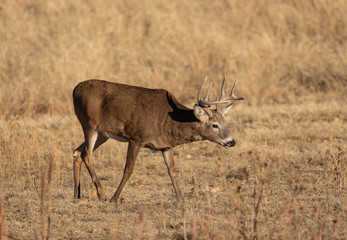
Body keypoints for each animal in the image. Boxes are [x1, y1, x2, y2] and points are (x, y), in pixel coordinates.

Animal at [72, 75, 243, 202]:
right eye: (215, 125)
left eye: (225, 123)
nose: (231, 141)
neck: (167, 121)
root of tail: (75, 89)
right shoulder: (136, 138)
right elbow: (128, 169)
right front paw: (114, 199)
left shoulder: (166, 146)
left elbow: (172, 170)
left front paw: (181, 199)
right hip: (89, 125)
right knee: (87, 155)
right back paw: (102, 194)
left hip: (102, 134)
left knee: (77, 152)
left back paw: (77, 195)